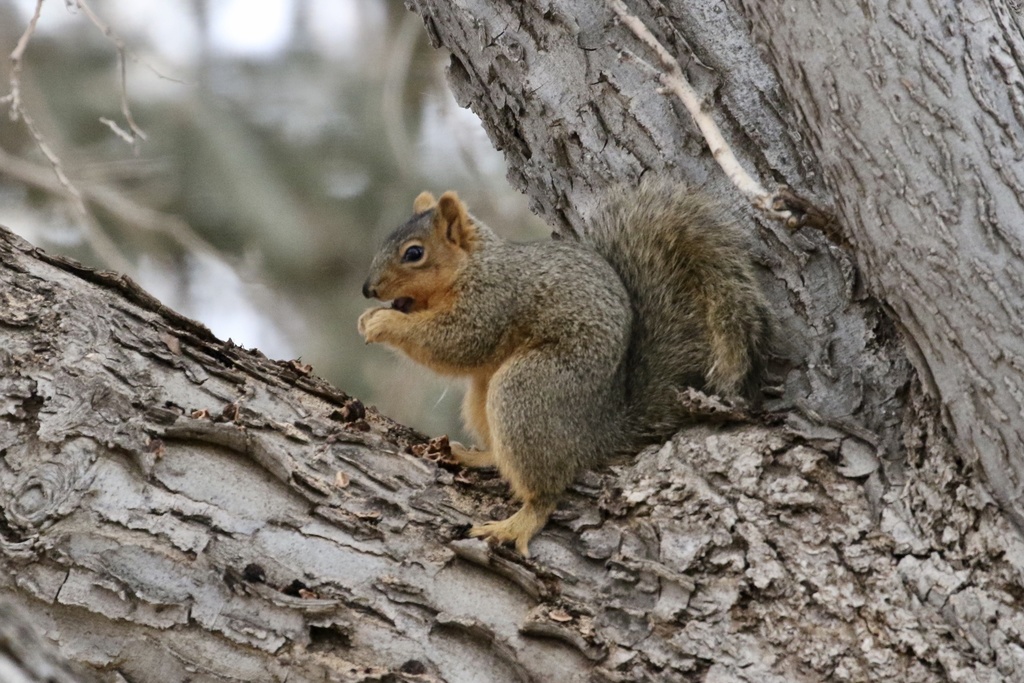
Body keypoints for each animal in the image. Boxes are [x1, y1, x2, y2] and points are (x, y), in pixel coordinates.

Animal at [358, 180, 770, 557]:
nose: (367, 290)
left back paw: (517, 524)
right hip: (485, 395)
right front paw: (369, 317)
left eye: (414, 253)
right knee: (503, 453)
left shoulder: (492, 302)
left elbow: (457, 342)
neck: (475, 265)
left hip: (527, 388)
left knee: (545, 491)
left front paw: (382, 323)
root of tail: (599, 430)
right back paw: (476, 455)